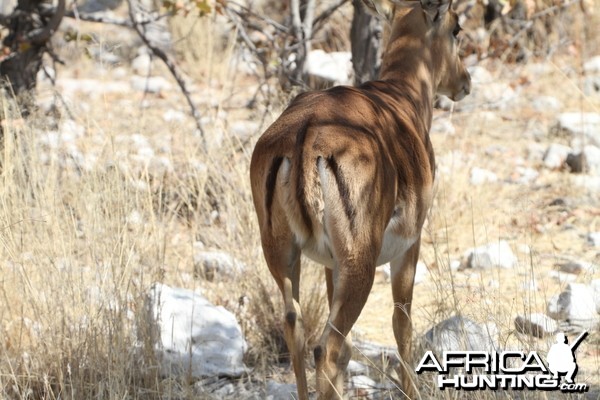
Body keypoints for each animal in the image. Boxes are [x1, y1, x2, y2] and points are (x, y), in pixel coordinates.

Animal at [251, 0, 472, 396]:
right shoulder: (410, 245)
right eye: (456, 28)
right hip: (360, 265)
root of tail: (305, 135)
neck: (402, 94)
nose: (466, 81)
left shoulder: (329, 263)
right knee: (326, 348)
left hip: (283, 255)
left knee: (297, 331)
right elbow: (402, 325)